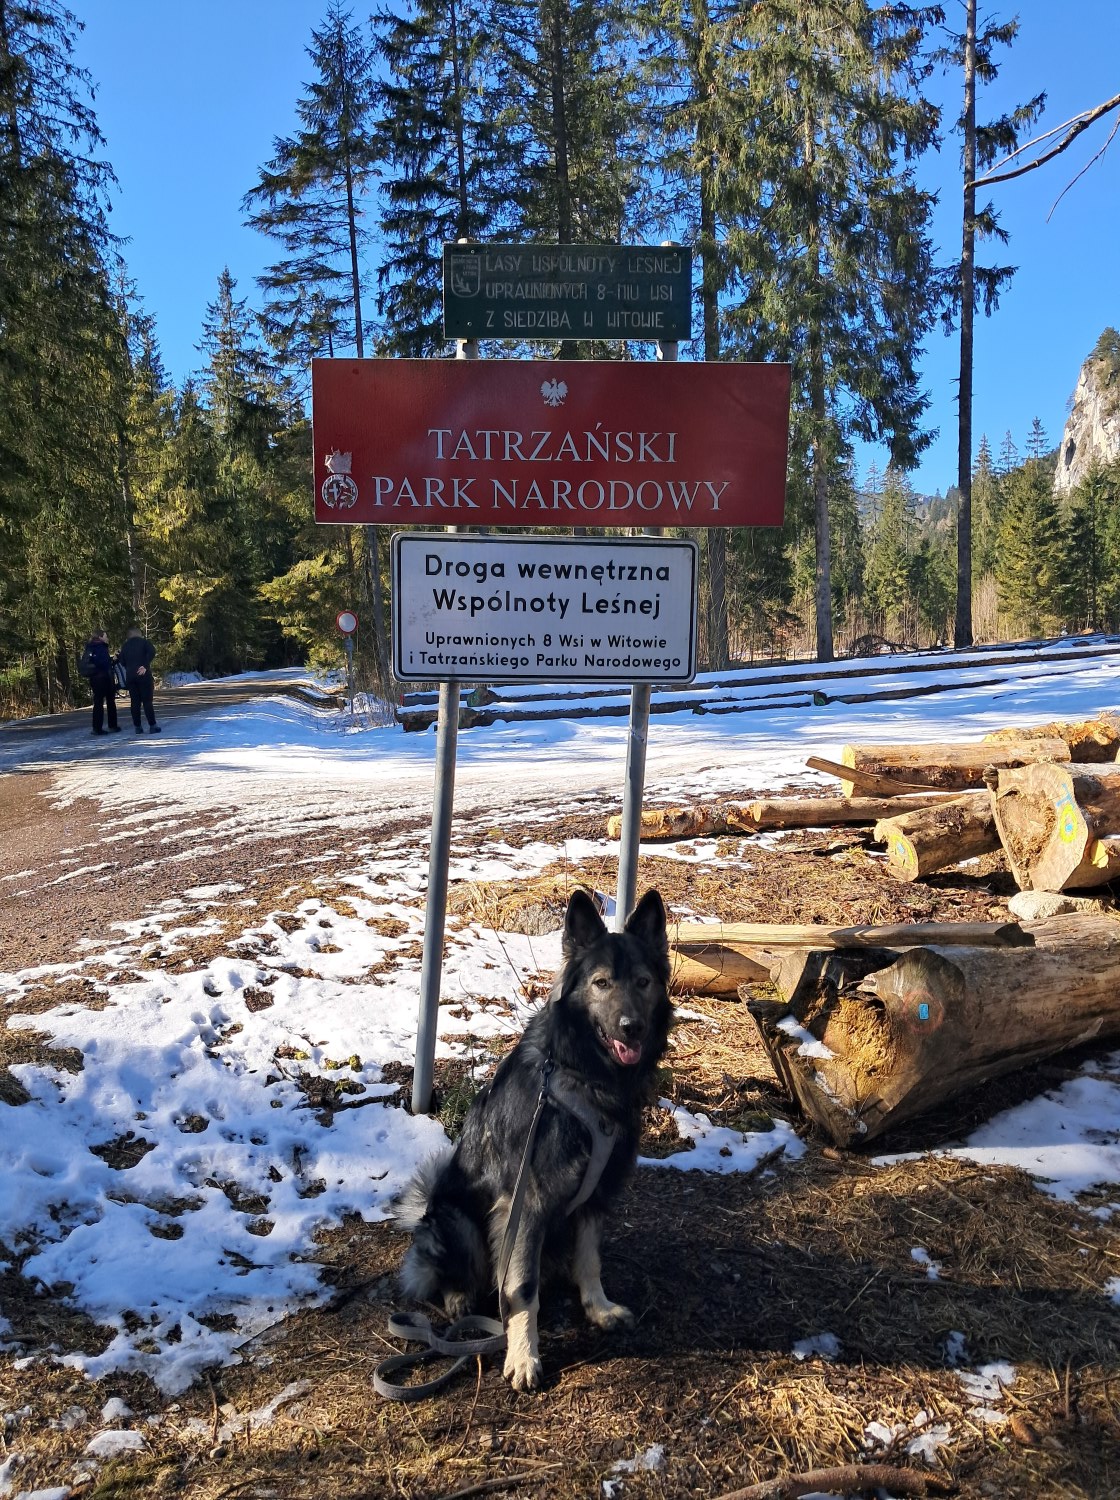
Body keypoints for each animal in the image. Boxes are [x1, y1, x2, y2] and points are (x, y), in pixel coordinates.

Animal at [397, 887, 673, 1390]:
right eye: (601, 983)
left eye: (643, 982)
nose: (632, 1027)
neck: (586, 1074)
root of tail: (425, 1210)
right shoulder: (526, 1203)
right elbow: (521, 1288)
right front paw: (523, 1357)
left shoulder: (594, 1197)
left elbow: (590, 1261)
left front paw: (598, 1309)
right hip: (459, 1220)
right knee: (447, 1274)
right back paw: (459, 1298)